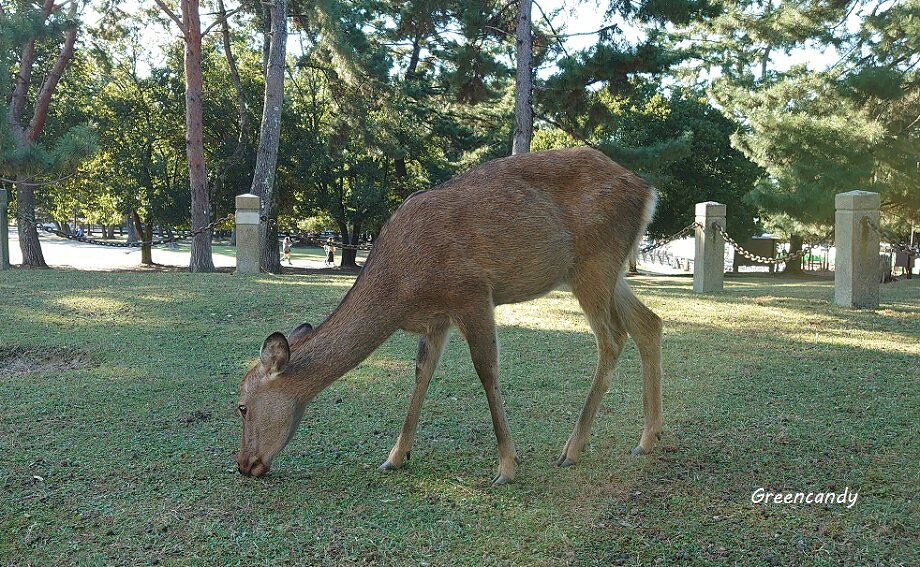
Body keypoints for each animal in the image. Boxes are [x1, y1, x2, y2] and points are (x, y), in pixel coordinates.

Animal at [235, 148, 660, 488]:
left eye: (241, 405)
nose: (243, 465)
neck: (402, 291)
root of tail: (647, 190)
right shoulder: (436, 319)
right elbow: (421, 374)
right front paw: (395, 457)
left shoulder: (471, 293)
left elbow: (486, 370)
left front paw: (507, 467)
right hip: (610, 271)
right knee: (649, 323)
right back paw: (646, 440)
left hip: (594, 263)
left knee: (612, 339)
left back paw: (572, 449)